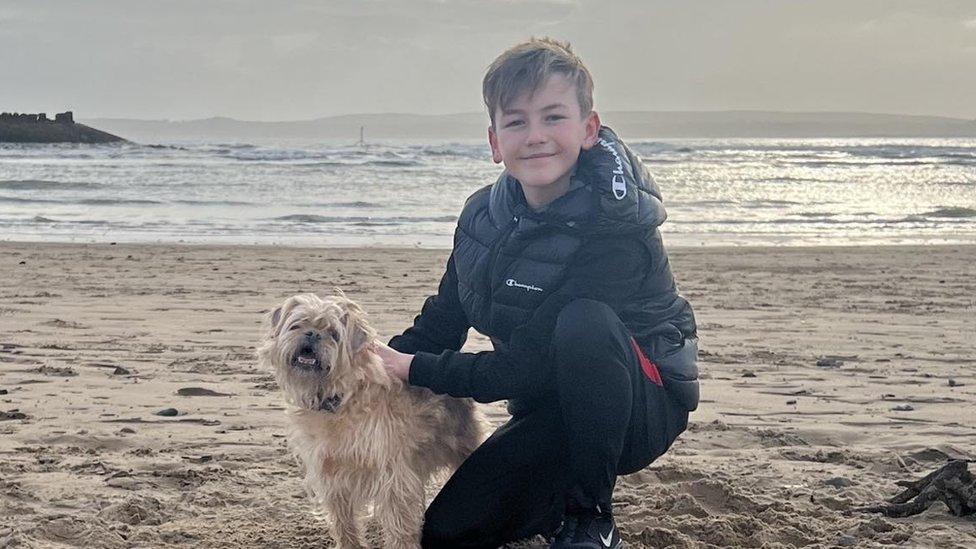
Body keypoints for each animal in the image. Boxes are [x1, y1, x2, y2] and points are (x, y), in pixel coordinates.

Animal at [255, 294, 476, 544]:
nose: (312, 334)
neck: (338, 401)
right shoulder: (331, 477)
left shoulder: (393, 478)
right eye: (297, 325)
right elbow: (344, 524)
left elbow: (400, 525)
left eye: (334, 334)